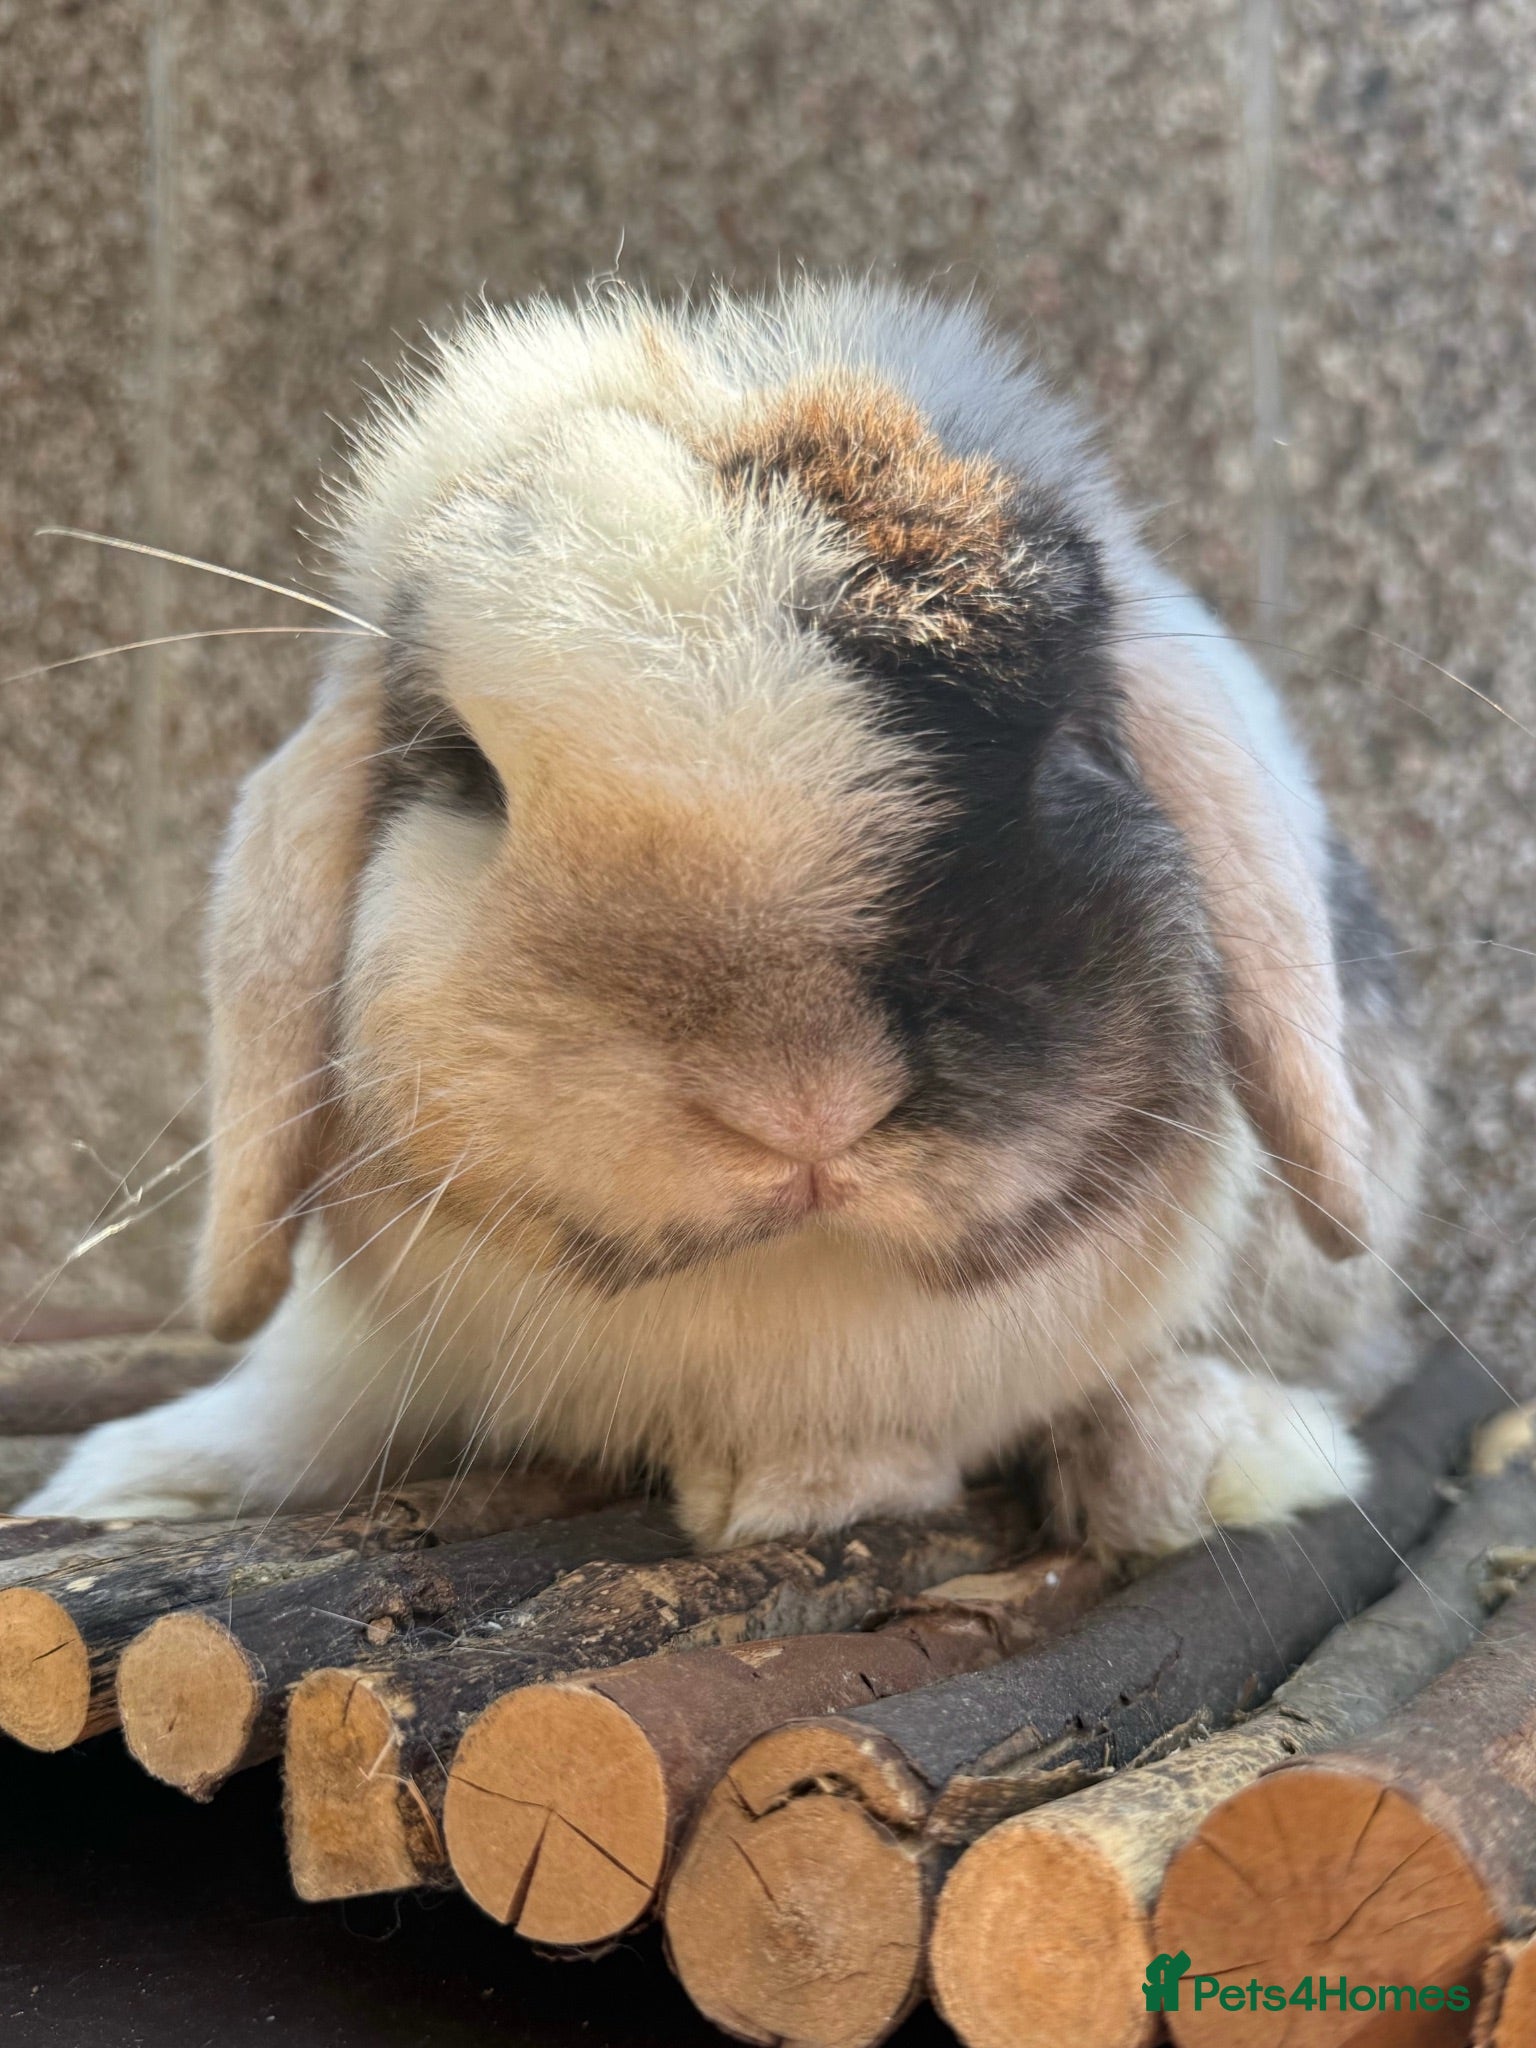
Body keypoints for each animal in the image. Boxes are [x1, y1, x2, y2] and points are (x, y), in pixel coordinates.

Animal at [23, 276, 1423, 1556]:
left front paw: (794, 1493)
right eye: (467, 770)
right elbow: (307, 1393)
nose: (802, 1100)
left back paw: (1207, 1455)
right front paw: (128, 1481)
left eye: (1066, 740)